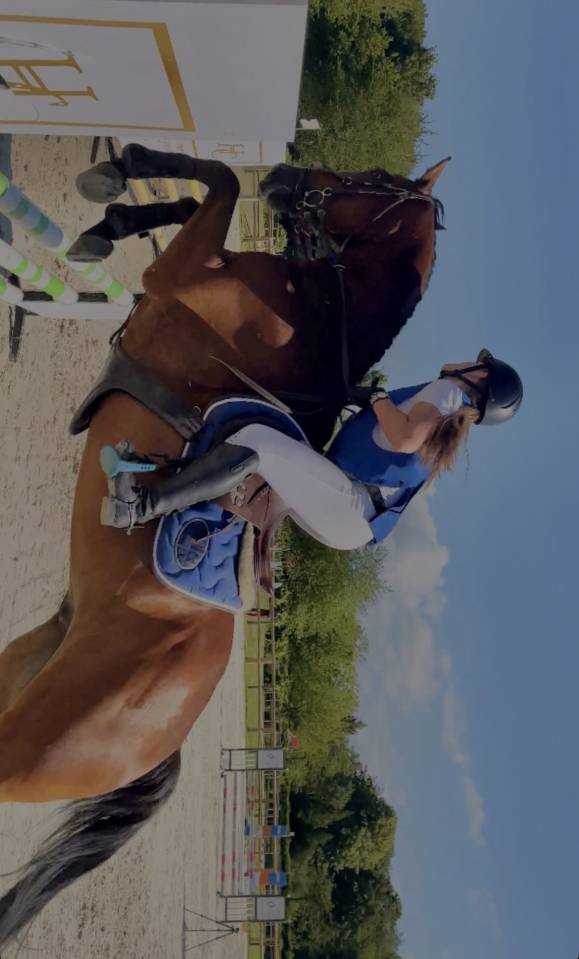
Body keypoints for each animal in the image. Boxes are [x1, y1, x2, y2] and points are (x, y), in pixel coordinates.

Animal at [0, 145, 448, 946]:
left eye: (371, 181)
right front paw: (112, 214)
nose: (290, 178)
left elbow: (218, 178)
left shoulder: (181, 272)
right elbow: (197, 193)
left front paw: (122, 178)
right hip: (25, 668)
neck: (308, 313)